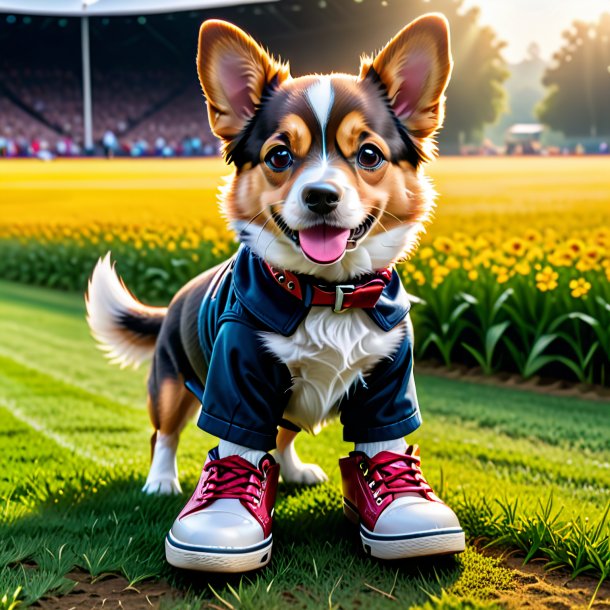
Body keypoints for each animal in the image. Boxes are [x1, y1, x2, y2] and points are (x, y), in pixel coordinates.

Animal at [83, 11, 458, 568]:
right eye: (279, 156)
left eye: (369, 154)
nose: (321, 195)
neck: (327, 294)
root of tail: (175, 298)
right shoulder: (238, 381)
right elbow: (237, 447)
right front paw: (225, 518)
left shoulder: (389, 381)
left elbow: (380, 443)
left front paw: (402, 508)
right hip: (171, 385)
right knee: (164, 433)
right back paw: (161, 480)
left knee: (280, 435)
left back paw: (294, 470)